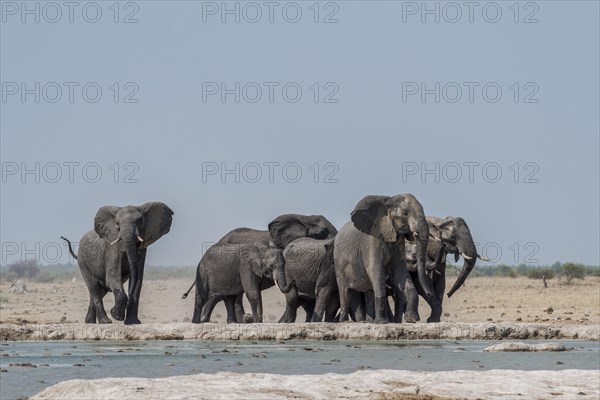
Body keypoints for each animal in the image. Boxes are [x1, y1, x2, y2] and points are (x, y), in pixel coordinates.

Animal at [332, 195, 440, 324]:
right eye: (405, 213)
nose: (428, 292)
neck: (387, 203)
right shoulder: (372, 241)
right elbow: (377, 273)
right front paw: (382, 322)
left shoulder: (398, 243)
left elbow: (401, 274)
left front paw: (411, 319)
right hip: (339, 263)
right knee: (345, 292)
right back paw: (344, 322)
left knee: (369, 292)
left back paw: (369, 321)